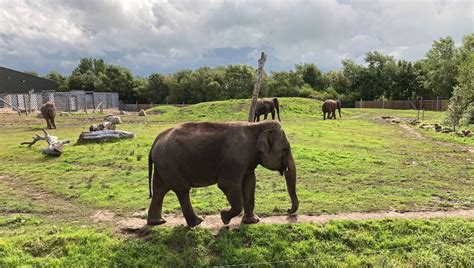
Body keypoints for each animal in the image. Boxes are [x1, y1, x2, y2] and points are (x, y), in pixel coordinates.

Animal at [146, 120, 298, 227]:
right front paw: (224, 217)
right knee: (182, 189)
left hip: (163, 165)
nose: (288, 211)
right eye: (285, 149)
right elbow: (227, 185)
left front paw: (252, 221)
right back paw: (197, 222)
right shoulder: (235, 159)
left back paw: (157, 222)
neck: (256, 126)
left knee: (160, 190)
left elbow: (250, 183)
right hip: (169, 163)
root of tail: (156, 140)